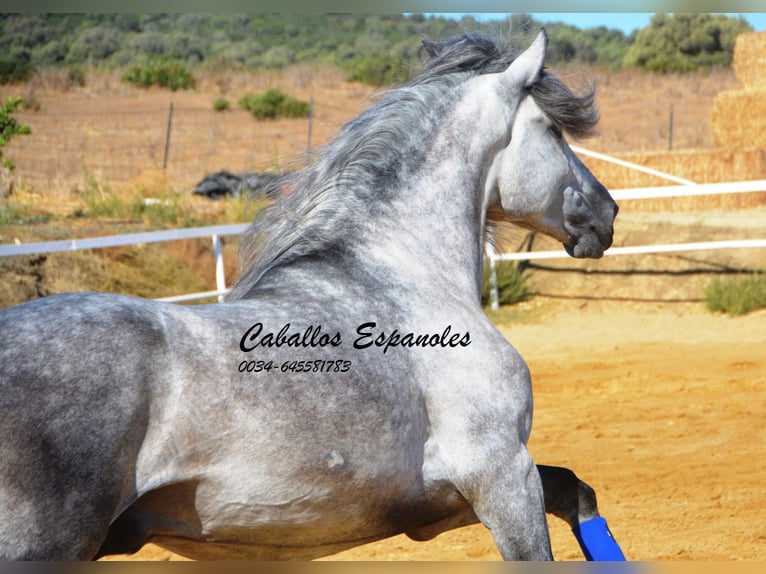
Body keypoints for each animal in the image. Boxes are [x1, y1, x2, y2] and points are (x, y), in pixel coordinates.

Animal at [0, 32, 620, 564]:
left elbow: (576, 491)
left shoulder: (443, 503)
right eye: (552, 131)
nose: (608, 211)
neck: (399, 273)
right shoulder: (500, 475)